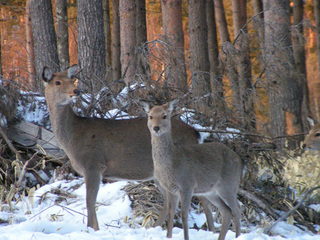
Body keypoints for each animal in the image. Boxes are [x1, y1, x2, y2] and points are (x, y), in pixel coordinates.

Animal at [42, 66, 215, 232]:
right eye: (57, 82)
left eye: (72, 80)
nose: (76, 91)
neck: (73, 137)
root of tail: (196, 133)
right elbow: (92, 201)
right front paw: (96, 229)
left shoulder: (93, 164)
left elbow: (90, 201)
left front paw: (90, 229)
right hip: (160, 174)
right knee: (171, 200)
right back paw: (155, 227)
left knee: (204, 200)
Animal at [143, 98, 242, 239]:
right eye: (150, 116)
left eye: (164, 116)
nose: (156, 128)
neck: (171, 164)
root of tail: (239, 159)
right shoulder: (170, 189)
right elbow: (171, 212)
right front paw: (168, 236)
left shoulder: (187, 185)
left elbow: (184, 215)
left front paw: (185, 237)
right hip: (211, 191)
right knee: (227, 211)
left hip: (229, 185)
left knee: (237, 209)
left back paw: (238, 236)